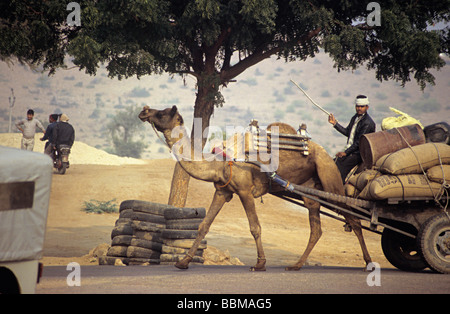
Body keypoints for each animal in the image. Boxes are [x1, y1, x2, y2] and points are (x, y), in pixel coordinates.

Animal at [139, 106, 370, 272]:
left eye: (162, 112)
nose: (144, 110)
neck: (220, 162)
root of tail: (327, 154)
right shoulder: (223, 191)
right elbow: (204, 225)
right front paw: (183, 262)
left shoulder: (244, 190)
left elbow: (255, 227)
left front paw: (260, 264)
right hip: (309, 189)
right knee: (317, 228)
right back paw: (295, 265)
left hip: (330, 178)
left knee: (354, 219)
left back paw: (368, 263)